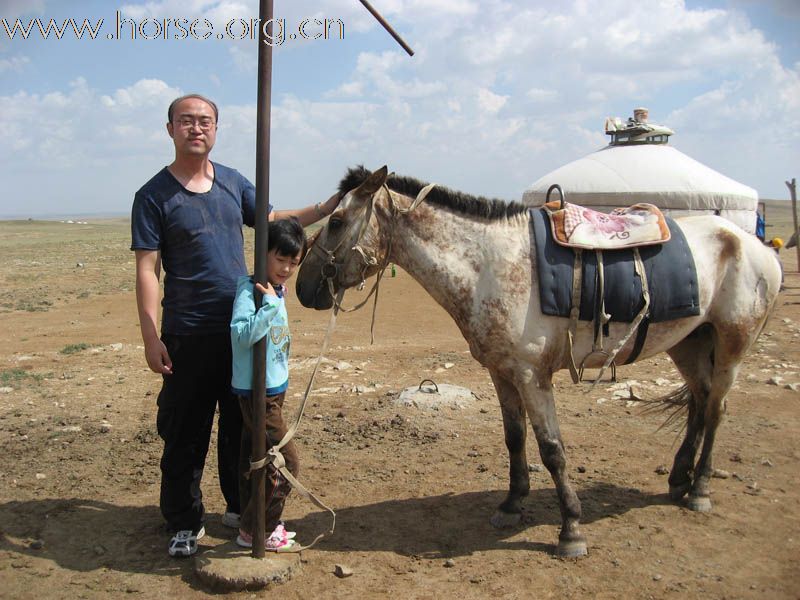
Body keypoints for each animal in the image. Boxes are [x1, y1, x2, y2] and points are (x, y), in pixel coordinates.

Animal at [294, 165, 780, 556]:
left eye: (336, 221)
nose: (302, 287)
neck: (486, 266)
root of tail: (756, 246)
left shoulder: (532, 375)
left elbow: (552, 450)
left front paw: (571, 530)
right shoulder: (501, 372)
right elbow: (515, 438)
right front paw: (512, 504)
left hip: (732, 344)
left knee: (715, 409)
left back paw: (699, 488)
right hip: (689, 342)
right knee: (698, 401)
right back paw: (679, 478)